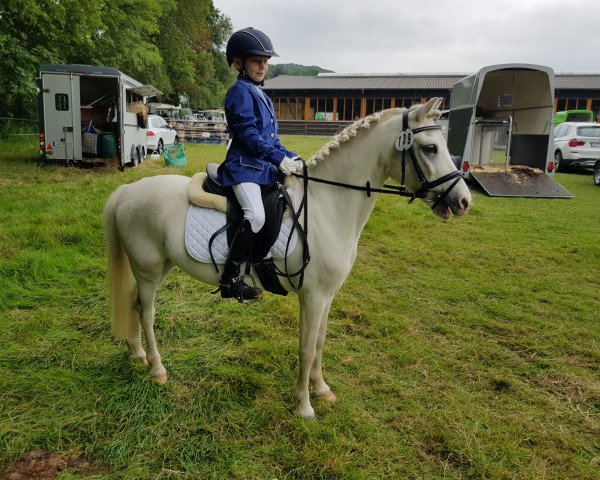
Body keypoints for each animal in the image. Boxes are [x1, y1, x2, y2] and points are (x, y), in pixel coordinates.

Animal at [103, 98, 472, 420]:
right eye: (430, 148)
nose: (464, 201)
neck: (328, 203)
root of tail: (127, 190)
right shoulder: (313, 296)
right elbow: (306, 348)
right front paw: (304, 406)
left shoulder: (326, 296)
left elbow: (319, 343)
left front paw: (321, 390)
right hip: (149, 268)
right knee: (147, 312)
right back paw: (157, 368)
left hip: (158, 267)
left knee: (134, 302)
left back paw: (136, 353)